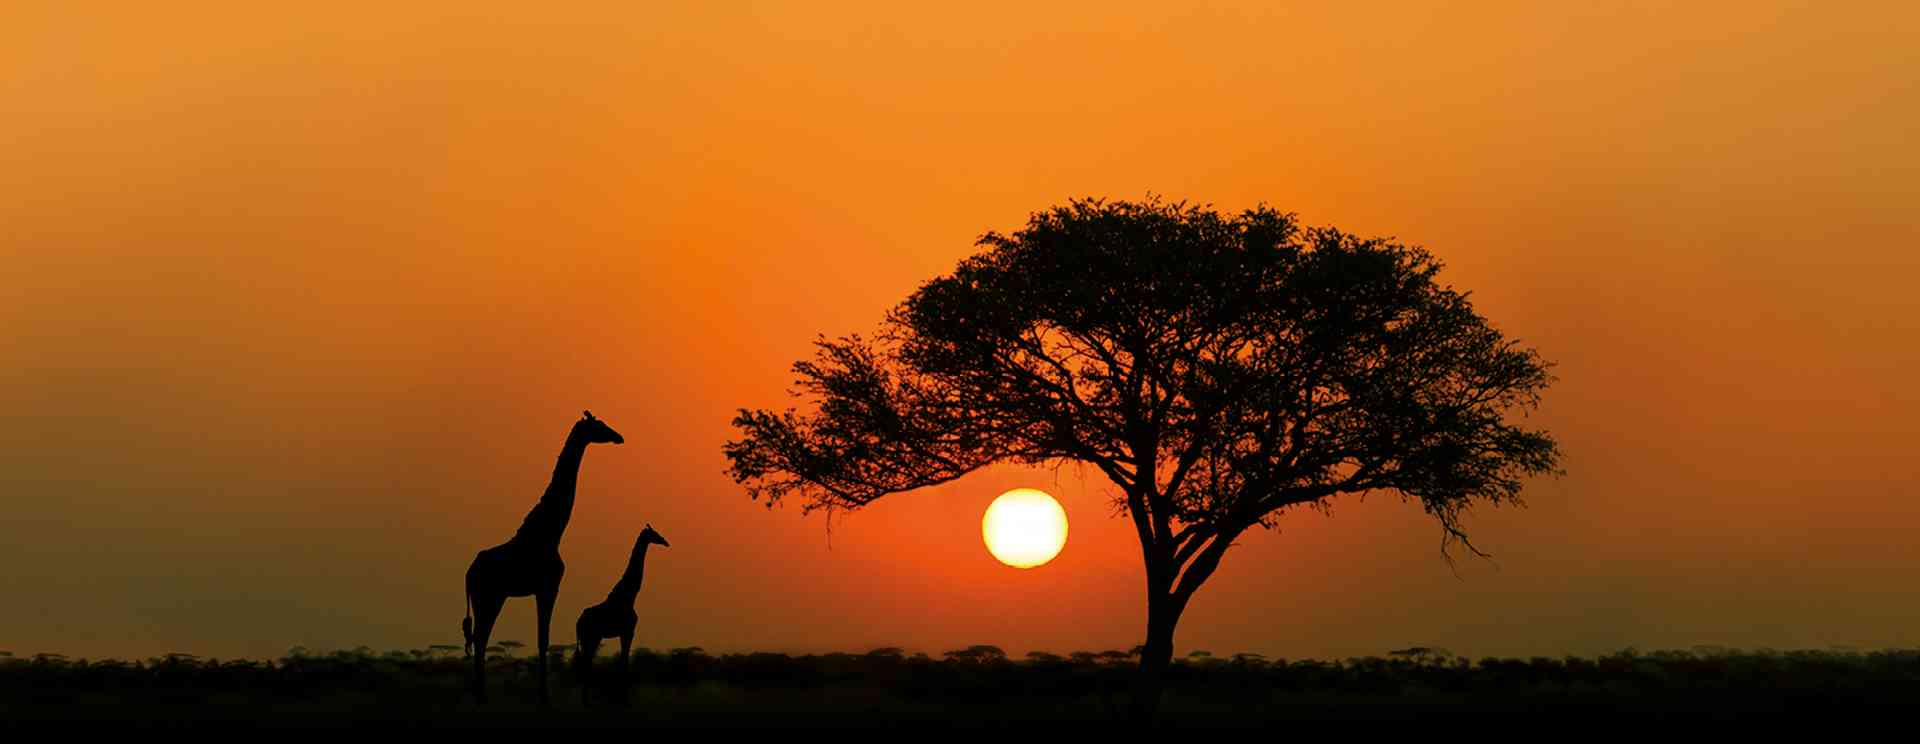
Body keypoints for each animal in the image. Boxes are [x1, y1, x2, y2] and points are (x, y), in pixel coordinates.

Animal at [462, 410, 624, 704]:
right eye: (599, 425)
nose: (619, 437)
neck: (551, 531)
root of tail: (469, 572)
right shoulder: (549, 587)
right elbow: (543, 639)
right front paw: (544, 698)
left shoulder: (541, 589)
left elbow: (541, 638)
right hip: (490, 596)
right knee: (480, 636)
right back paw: (481, 695)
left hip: (487, 598)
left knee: (479, 637)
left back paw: (480, 693)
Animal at [573, 524, 670, 686]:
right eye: (654, 533)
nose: (666, 542)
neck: (629, 596)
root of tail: (578, 622)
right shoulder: (628, 631)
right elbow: (624, 661)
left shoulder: (624, 632)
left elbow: (623, 660)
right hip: (590, 637)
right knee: (585, 665)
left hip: (592, 638)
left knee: (586, 664)